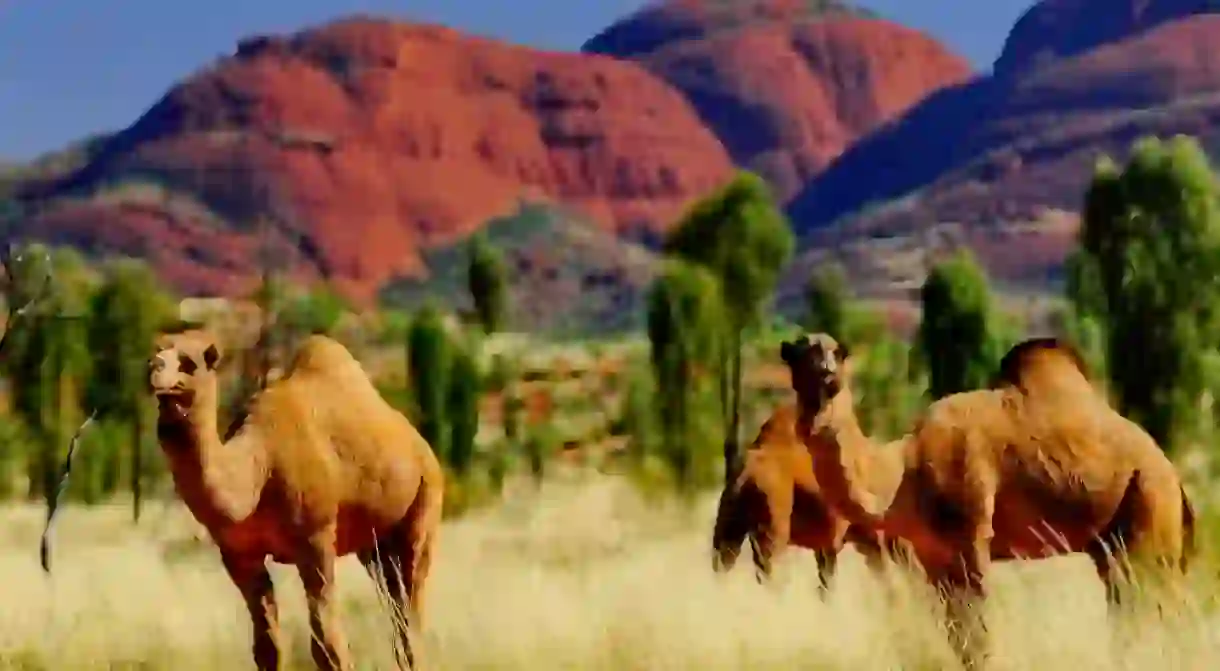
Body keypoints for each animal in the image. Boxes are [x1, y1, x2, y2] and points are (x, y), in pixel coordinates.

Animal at [148, 329, 444, 668]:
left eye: (189, 362)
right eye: (156, 353)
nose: (154, 370)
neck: (258, 467)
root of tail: (423, 448)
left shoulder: (316, 539)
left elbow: (327, 643)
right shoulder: (239, 554)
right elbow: (267, 647)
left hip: (425, 502)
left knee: (411, 609)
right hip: (375, 547)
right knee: (396, 608)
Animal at [780, 334, 1190, 663]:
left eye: (837, 353)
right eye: (799, 354)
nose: (828, 377)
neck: (904, 472)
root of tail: (1174, 475)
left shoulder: (970, 534)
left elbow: (976, 634)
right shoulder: (932, 557)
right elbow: (955, 634)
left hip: (1150, 505)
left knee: (1153, 603)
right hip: (1114, 540)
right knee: (1129, 606)